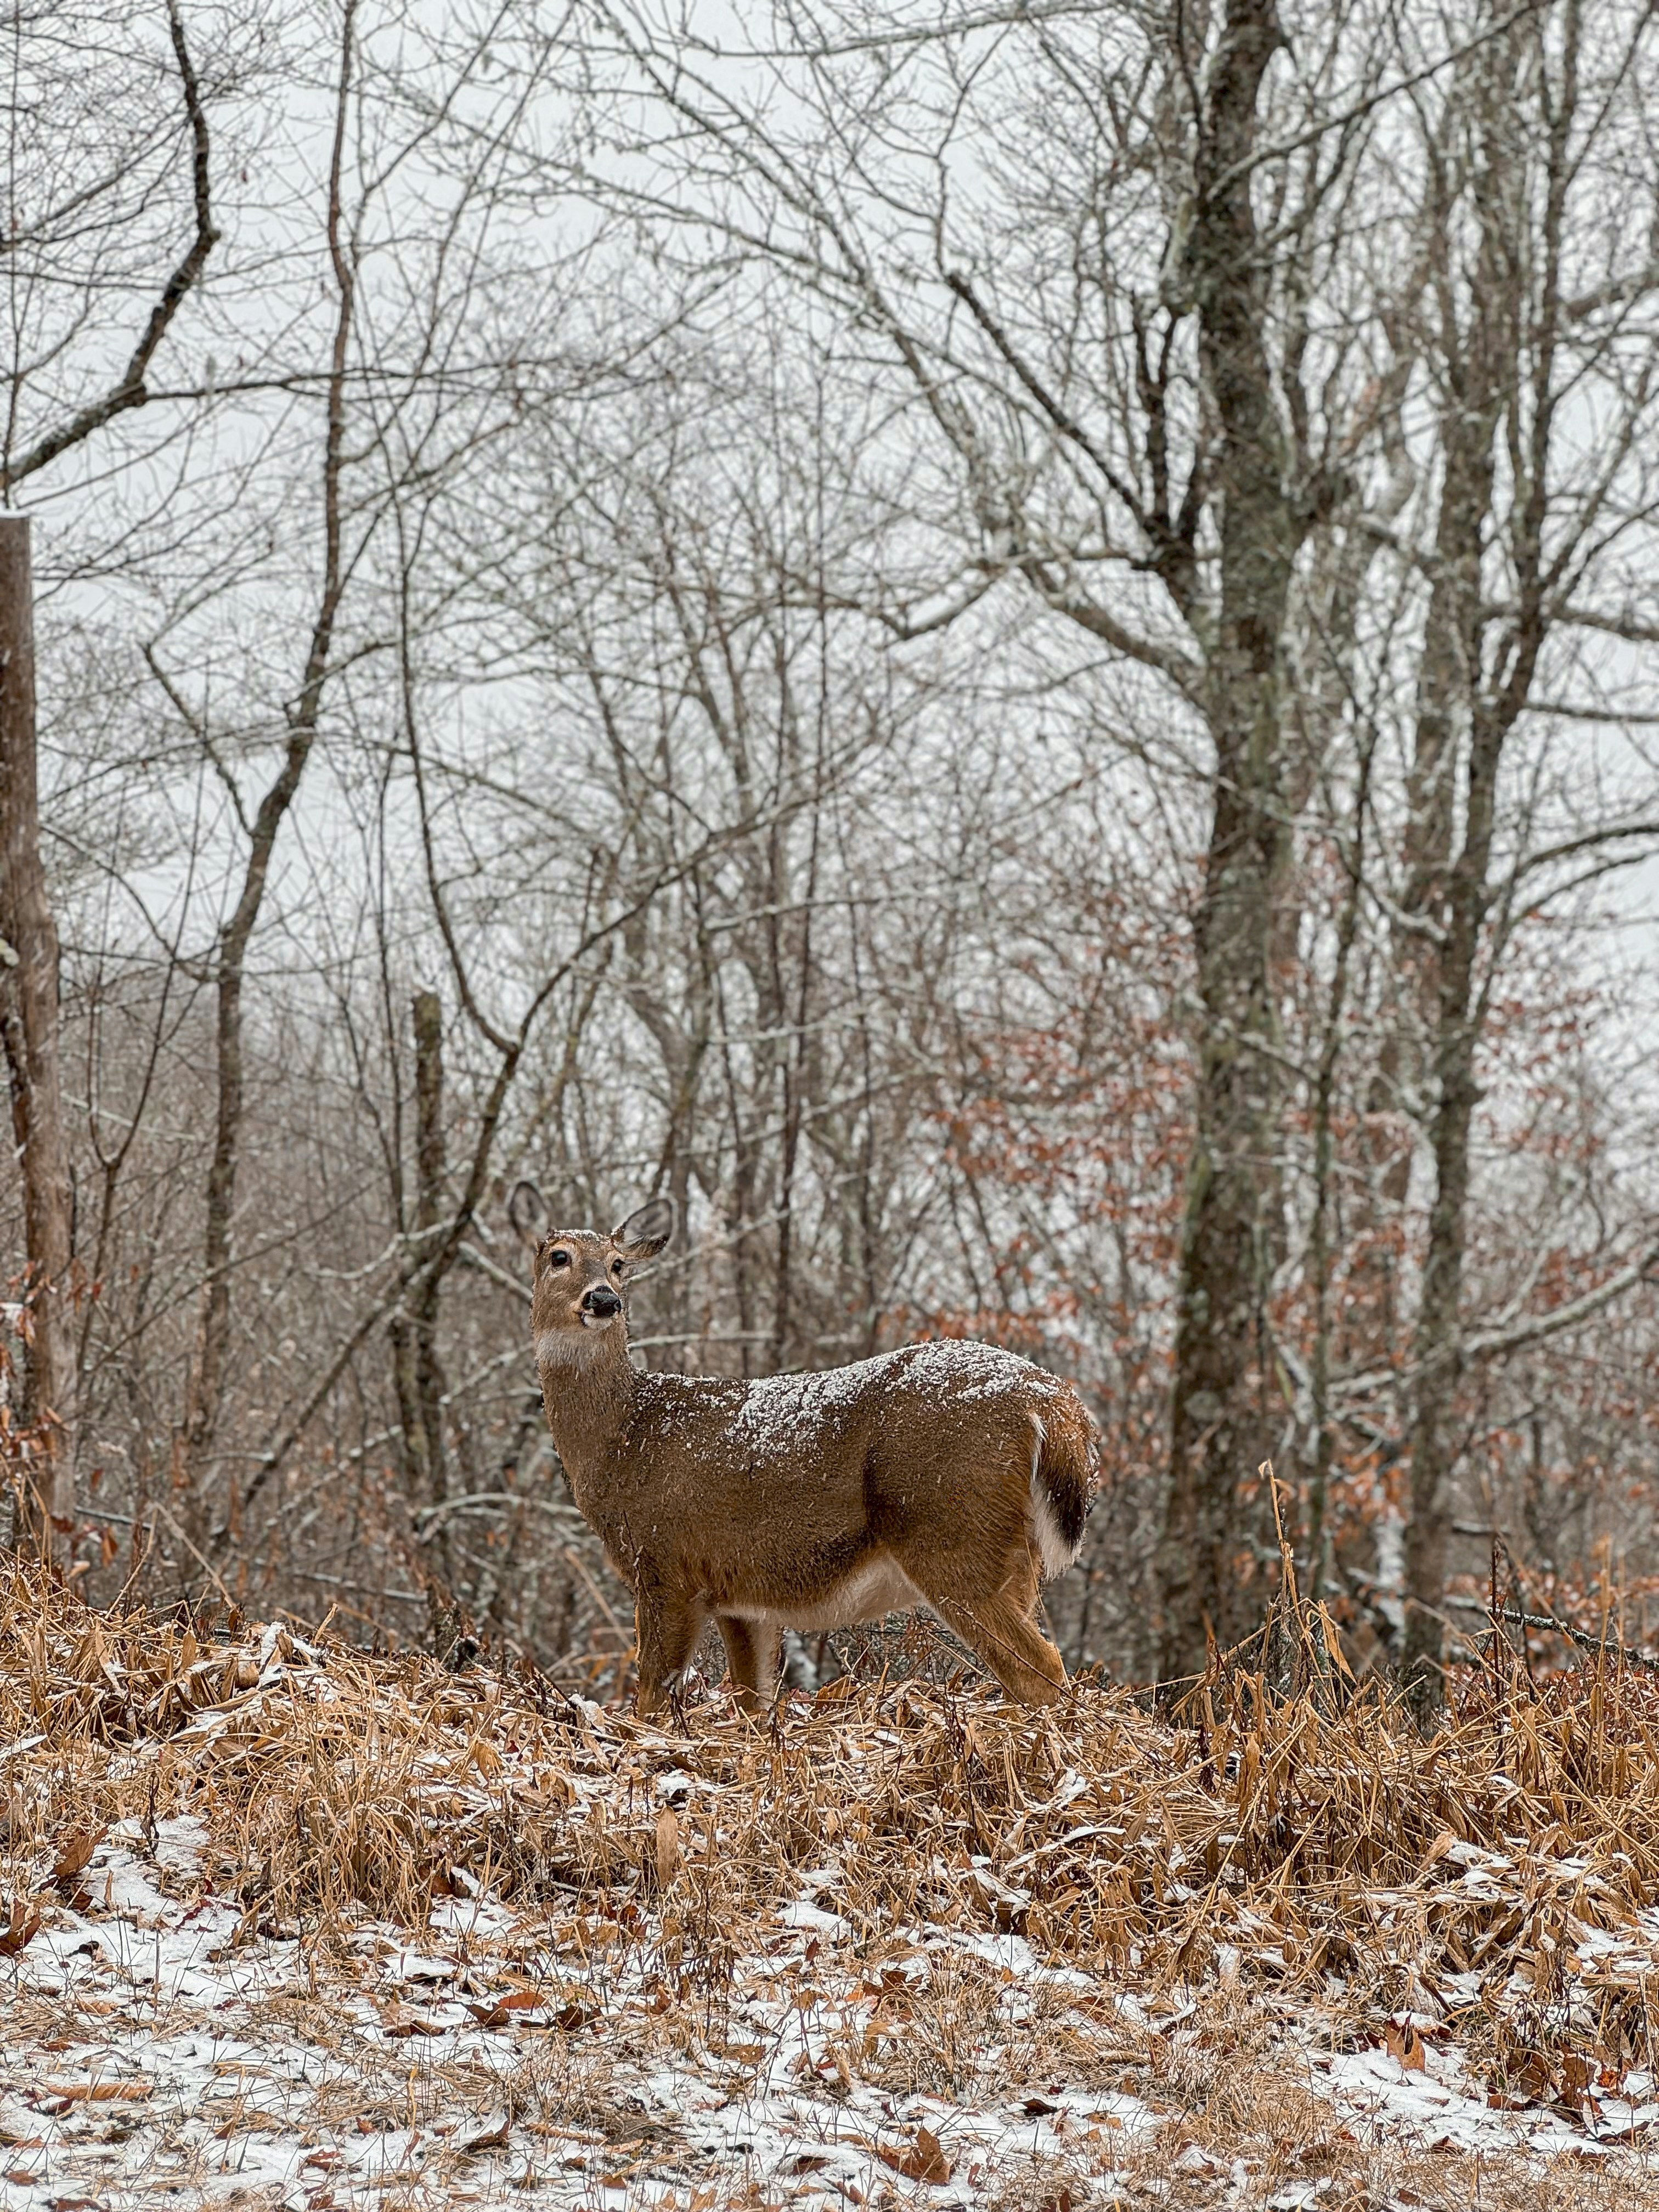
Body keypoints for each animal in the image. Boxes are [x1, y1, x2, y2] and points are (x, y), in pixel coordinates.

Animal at [508, 1184, 1099, 1719]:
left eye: (618, 1264)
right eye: (560, 1257)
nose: (604, 1300)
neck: (622, 1441)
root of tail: (1052, 1403)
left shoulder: (664, 1562)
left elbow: (652, 1696)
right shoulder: (739, 1595)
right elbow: (754, 1699)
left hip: (952, 1530)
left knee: (1039, 1665)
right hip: (1015, 1555)